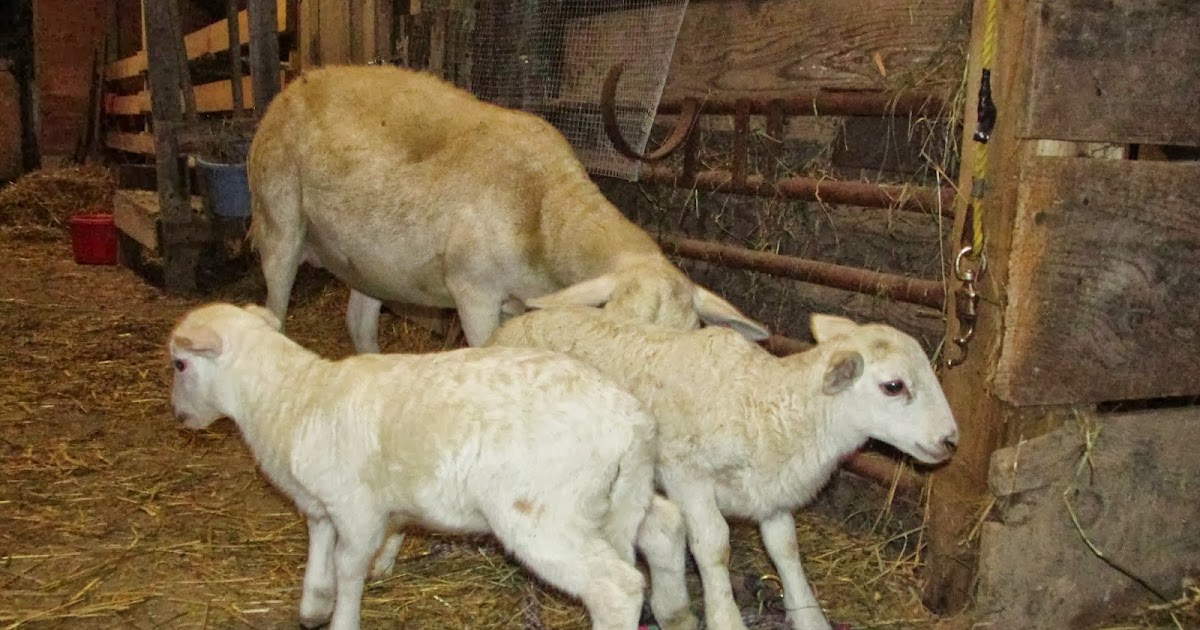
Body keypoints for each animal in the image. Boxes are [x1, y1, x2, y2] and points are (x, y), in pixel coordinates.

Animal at [167, 302, 699, 630]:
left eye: (179, 364)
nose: (177, 416)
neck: (291, 395)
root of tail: (630, 422)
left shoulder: (356, 507)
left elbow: (348, 565)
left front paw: (342, 616)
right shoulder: (323, 503)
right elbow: (321, 548)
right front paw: (314, 606)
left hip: (546, 514)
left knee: (616, 587)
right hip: (616, 497)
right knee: (665, 527)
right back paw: (676, 612)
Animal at [247, 64, 768, 351]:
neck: (543, 213)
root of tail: (295, 84)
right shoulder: (474, 292)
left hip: (368, 262)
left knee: (359, 326)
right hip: (278, 222)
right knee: (275, 311)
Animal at [487, 307, 960, 630]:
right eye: (894, 386)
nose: (950, 441)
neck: (763, 402)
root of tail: (508, 327)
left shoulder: (770, 488)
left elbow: (785, 548)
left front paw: (809, 615)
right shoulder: (686, 474)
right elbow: (714, 544)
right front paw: (725, 615)